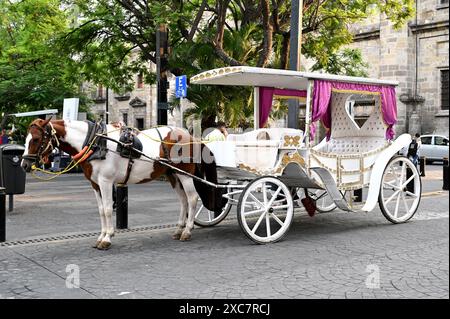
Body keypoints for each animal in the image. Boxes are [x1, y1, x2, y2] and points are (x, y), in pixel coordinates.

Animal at [22, 119, 222, 251]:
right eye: (25, 139)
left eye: (36, 139)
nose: (24, 164)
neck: (96, 142)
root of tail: (190, 136)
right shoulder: (95, 184)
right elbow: (101, 210)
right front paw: (101, 236)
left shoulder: (105, 181)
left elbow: (108, 209)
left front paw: (107, 238)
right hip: (172, 174)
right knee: (183, 201)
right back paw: (179, 228)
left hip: (185, 174)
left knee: (192, 198)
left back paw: (187, 231)